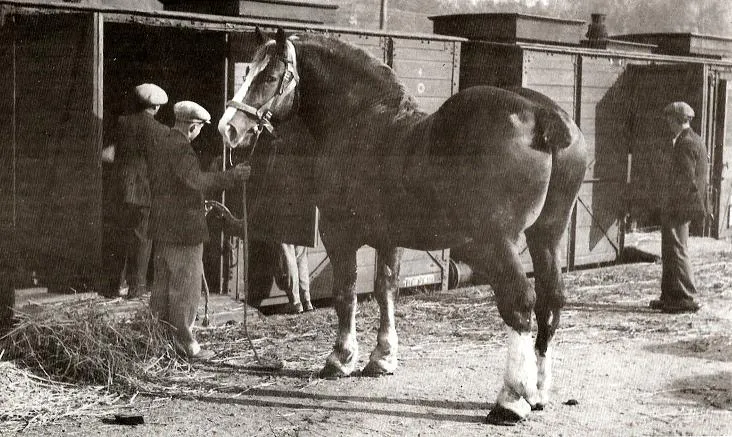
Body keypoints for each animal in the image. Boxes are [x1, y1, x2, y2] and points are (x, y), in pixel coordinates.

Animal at [217, 28, 588, 425]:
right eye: (247, 71)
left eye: (269, 77)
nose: (229, 129)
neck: (359, 121)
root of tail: (542, 115)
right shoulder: (388, 238)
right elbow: (385, 290)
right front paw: (382, 359)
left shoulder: (338, 233)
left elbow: (346, 292)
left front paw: (341, 358)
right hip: (547, 235)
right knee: (551, 300)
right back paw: (538, 392)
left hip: (497, 242)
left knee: (520, 303)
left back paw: (510, 401)